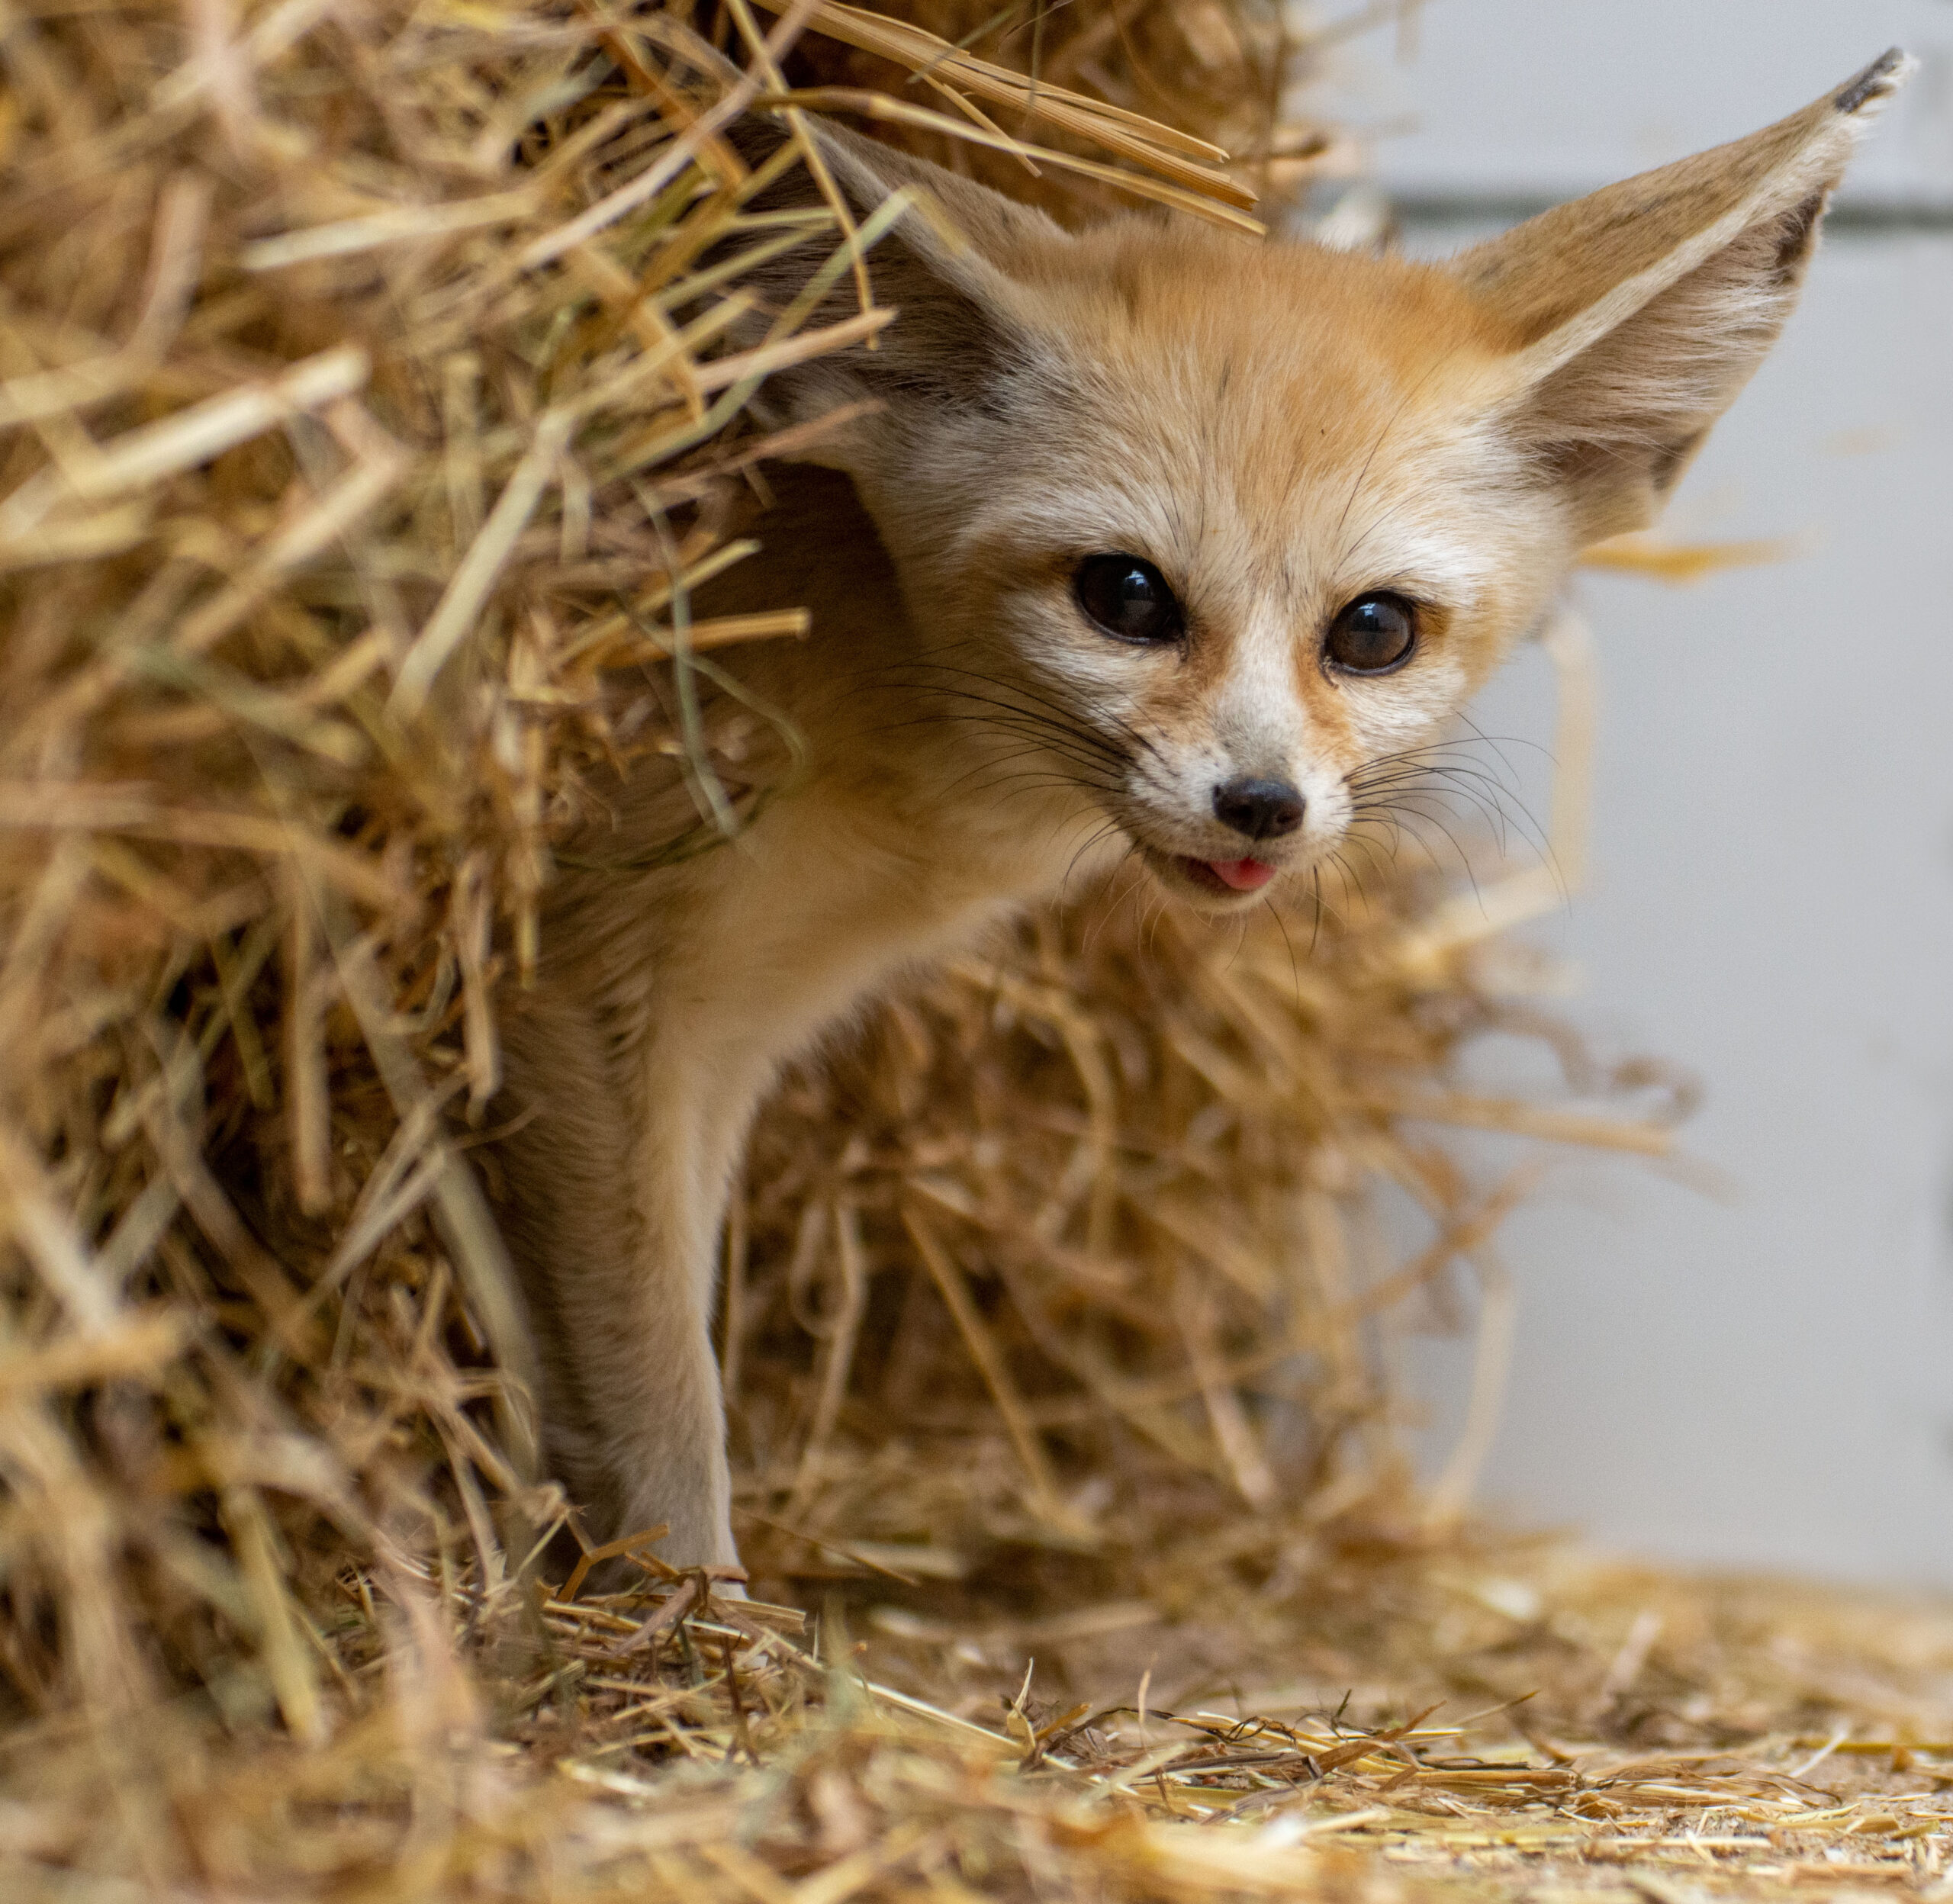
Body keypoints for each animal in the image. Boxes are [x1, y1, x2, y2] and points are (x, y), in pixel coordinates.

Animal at [492, 60, 1906, 1578]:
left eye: (1374, 631)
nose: (1263, 806)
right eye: (1125, 597)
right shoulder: (592, 989)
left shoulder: (718, 1035)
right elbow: (660, 1401)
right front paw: (681, 1623)